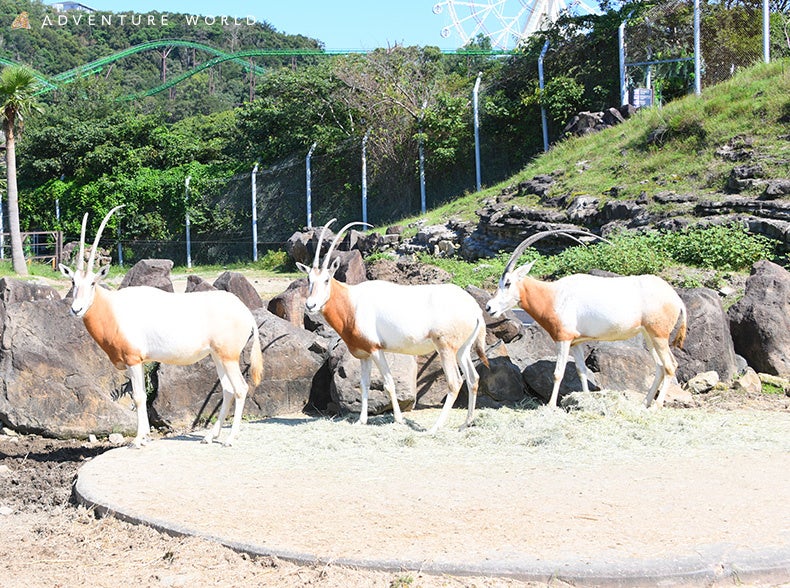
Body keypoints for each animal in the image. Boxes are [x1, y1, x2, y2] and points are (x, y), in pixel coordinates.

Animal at [59, 206, 263, 448]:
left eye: (92, 283)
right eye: (73, 282)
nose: (76, 309)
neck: (113, 309)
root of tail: (246, 312)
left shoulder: (133, 360)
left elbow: (139, 397)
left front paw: (138, 439)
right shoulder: (137, 362)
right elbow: (139, 396)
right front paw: (145, 436)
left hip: (228, 357)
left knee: (240, 389)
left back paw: (229, 439)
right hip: (218, 356)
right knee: (228, 389)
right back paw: (209, 437)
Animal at [297, 219, 489, 434]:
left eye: (326, 279)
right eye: (309, 279)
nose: (310, 305)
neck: (352, 302)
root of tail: (474, 308)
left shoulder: (376, 350)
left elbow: (388, 383)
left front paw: (399, 419)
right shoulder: (364, 354)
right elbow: (364, 384)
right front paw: (361, 420)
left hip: (446, 348)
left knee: (455, 382)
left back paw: (434, 428)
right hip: (462, 349)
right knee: (473, 378)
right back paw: (466, 423)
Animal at [485, 229, 687, 409]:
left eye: (508, 283)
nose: (489, 307)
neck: (554, 295)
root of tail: (676, 298)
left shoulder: (564, 339)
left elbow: (558, 373)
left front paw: (550, 406)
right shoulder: (576, 342)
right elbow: (581, 371)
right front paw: (585, 399)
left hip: (659, 336)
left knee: (670, 365)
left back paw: (656, 406)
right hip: (649, 336)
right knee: (660, 366)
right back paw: (644, 403)